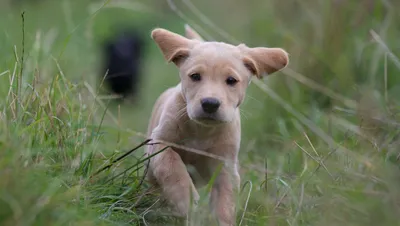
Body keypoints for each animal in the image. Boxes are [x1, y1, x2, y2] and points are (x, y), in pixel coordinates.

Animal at [145, 25, 290, 225]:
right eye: (195, 76)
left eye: (231, 80)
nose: (210, 104)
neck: (202, 130)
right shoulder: (160, 143)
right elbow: (172, 169)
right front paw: (187, 202)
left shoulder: (225, 166)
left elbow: (225, 202)